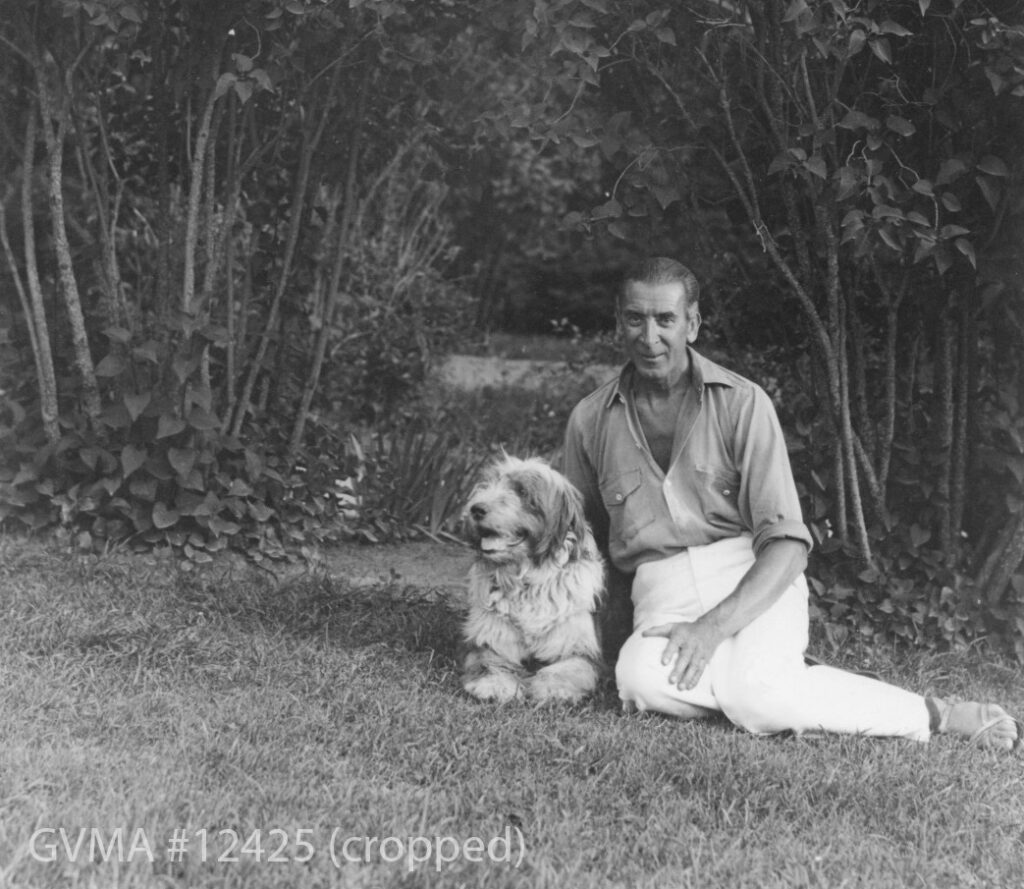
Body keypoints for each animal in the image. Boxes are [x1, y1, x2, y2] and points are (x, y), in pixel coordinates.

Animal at [460, 458, 602, 700]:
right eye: (486, 485)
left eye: (522, 491)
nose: (476, 509)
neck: (525, 582)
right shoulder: (491, 638)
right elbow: (489, 662)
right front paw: (494, 684)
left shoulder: (577, 646)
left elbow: (568, 668)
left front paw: (552, 688)